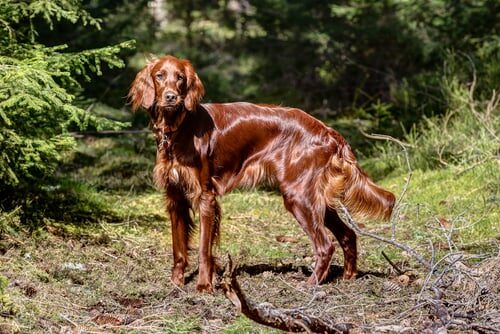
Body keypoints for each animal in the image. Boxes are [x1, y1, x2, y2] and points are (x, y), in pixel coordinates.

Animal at [129, 54, 394, 292]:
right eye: (159, 76)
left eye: (180, 78)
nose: (171, 97)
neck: (178, 130)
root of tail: (327, 130)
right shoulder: (175, 197)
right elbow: (178, 247)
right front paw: (176, 282)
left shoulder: (205, 197)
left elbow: (204, 249)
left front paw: (204, 286)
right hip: (313, 197)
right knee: (348, 234)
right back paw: (349, 277)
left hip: (298, 196)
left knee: (326, 245)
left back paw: (310, 285)